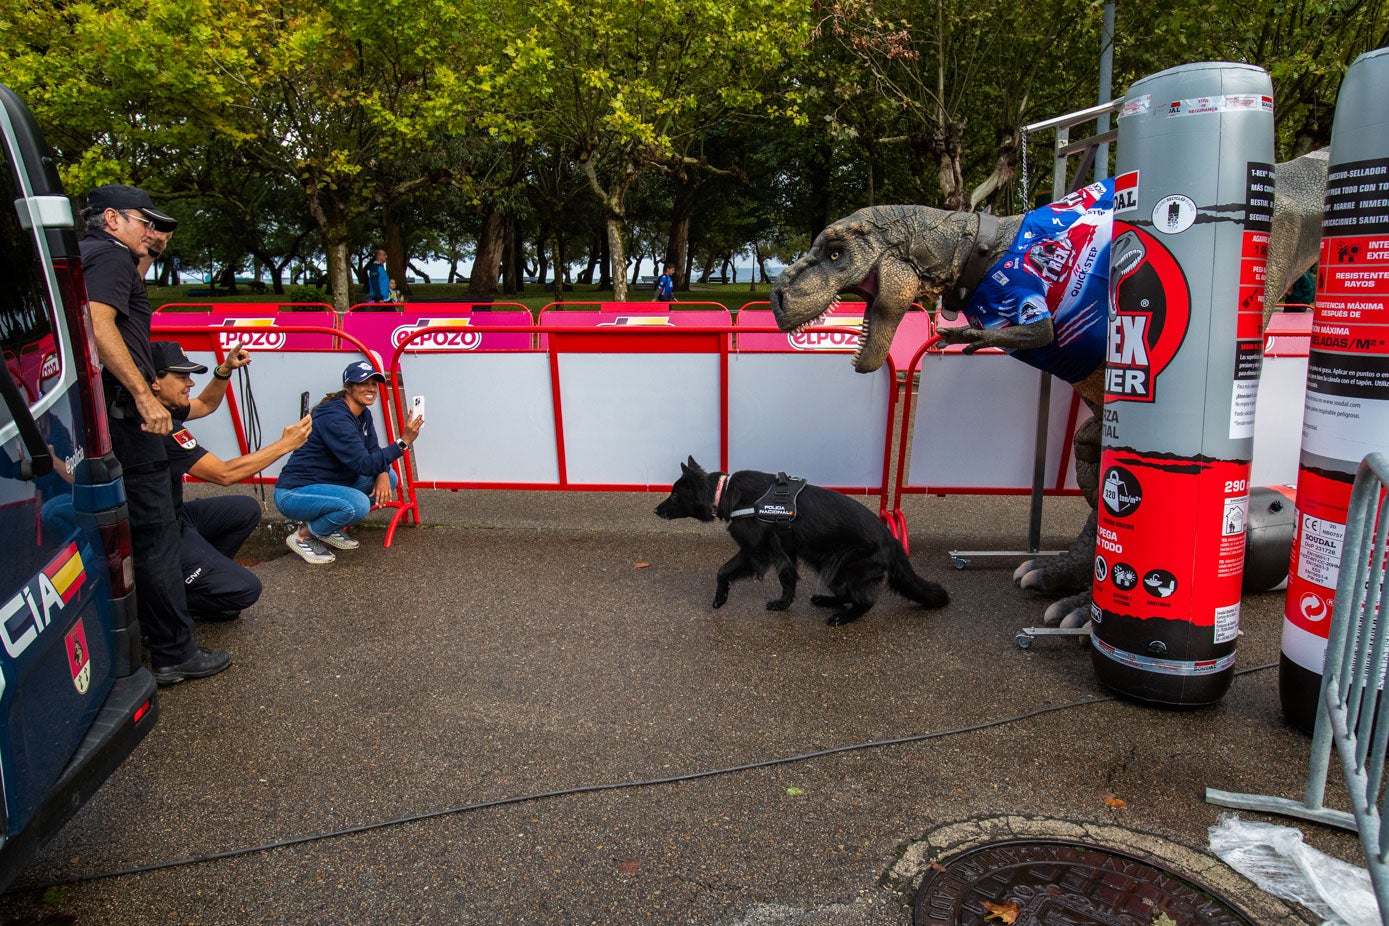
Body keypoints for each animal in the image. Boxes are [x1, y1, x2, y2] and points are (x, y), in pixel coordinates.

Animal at [655, 458, 950, 627]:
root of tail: (891, 539)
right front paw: (783, 604)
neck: (726, 492)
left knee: (864, 602)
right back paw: (826, 601)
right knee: (846, 595)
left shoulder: (756, 553)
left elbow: (723, 571)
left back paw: (843, 617)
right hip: (826, 564)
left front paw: (720, 597)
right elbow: (788, 581)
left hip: (840, 567)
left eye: (675, 495)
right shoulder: (785, 553)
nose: (655, 511)